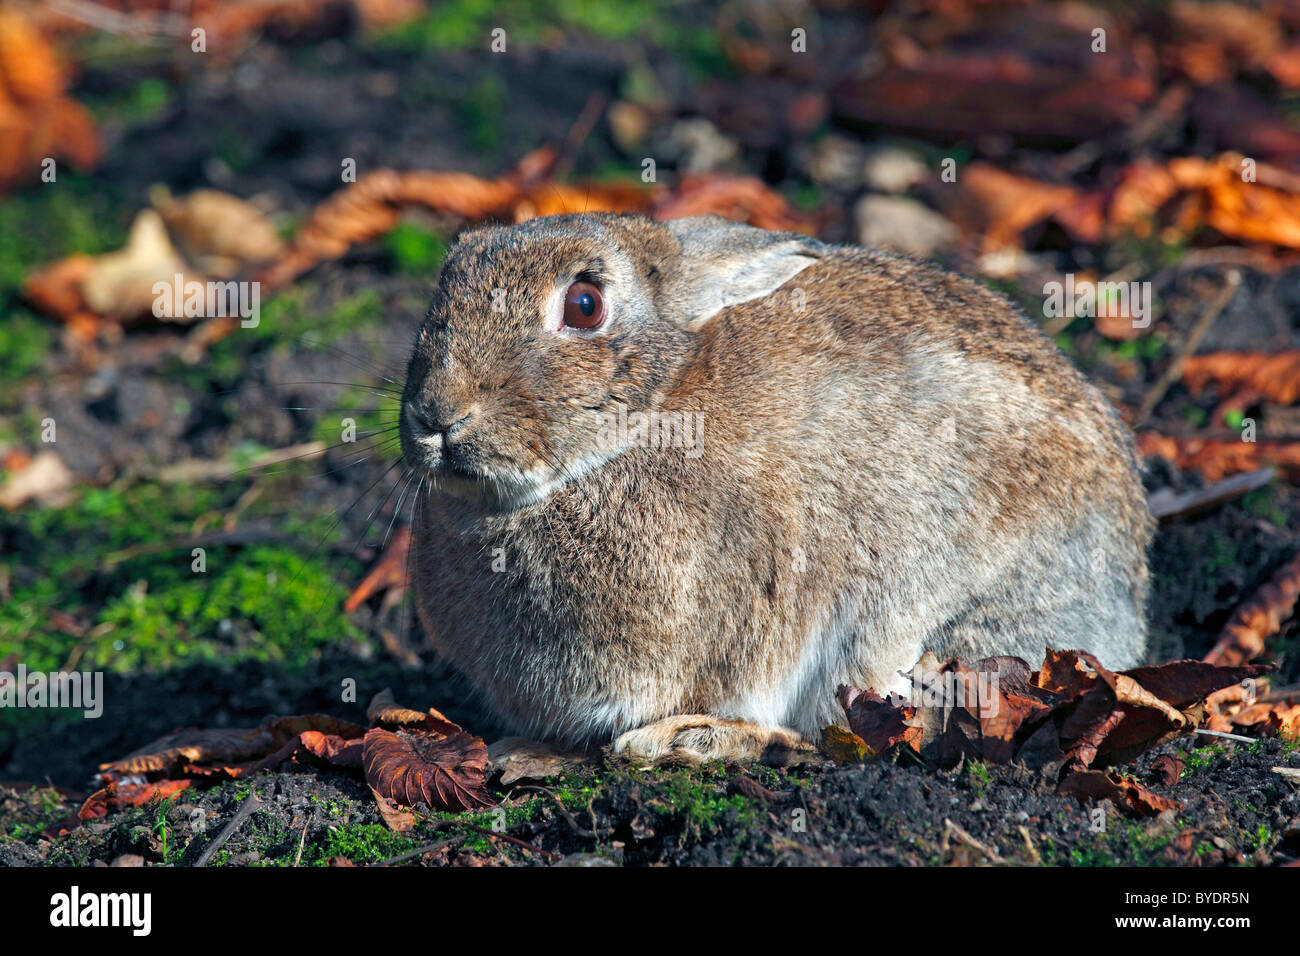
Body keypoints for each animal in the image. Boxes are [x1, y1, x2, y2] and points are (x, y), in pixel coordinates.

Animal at [400, 213, 1154, 764]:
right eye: (444, 282)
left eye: (584, 305)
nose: (437, 415)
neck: (653, 415)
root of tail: (1127, 604)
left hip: (925, 614)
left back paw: (692, 741)